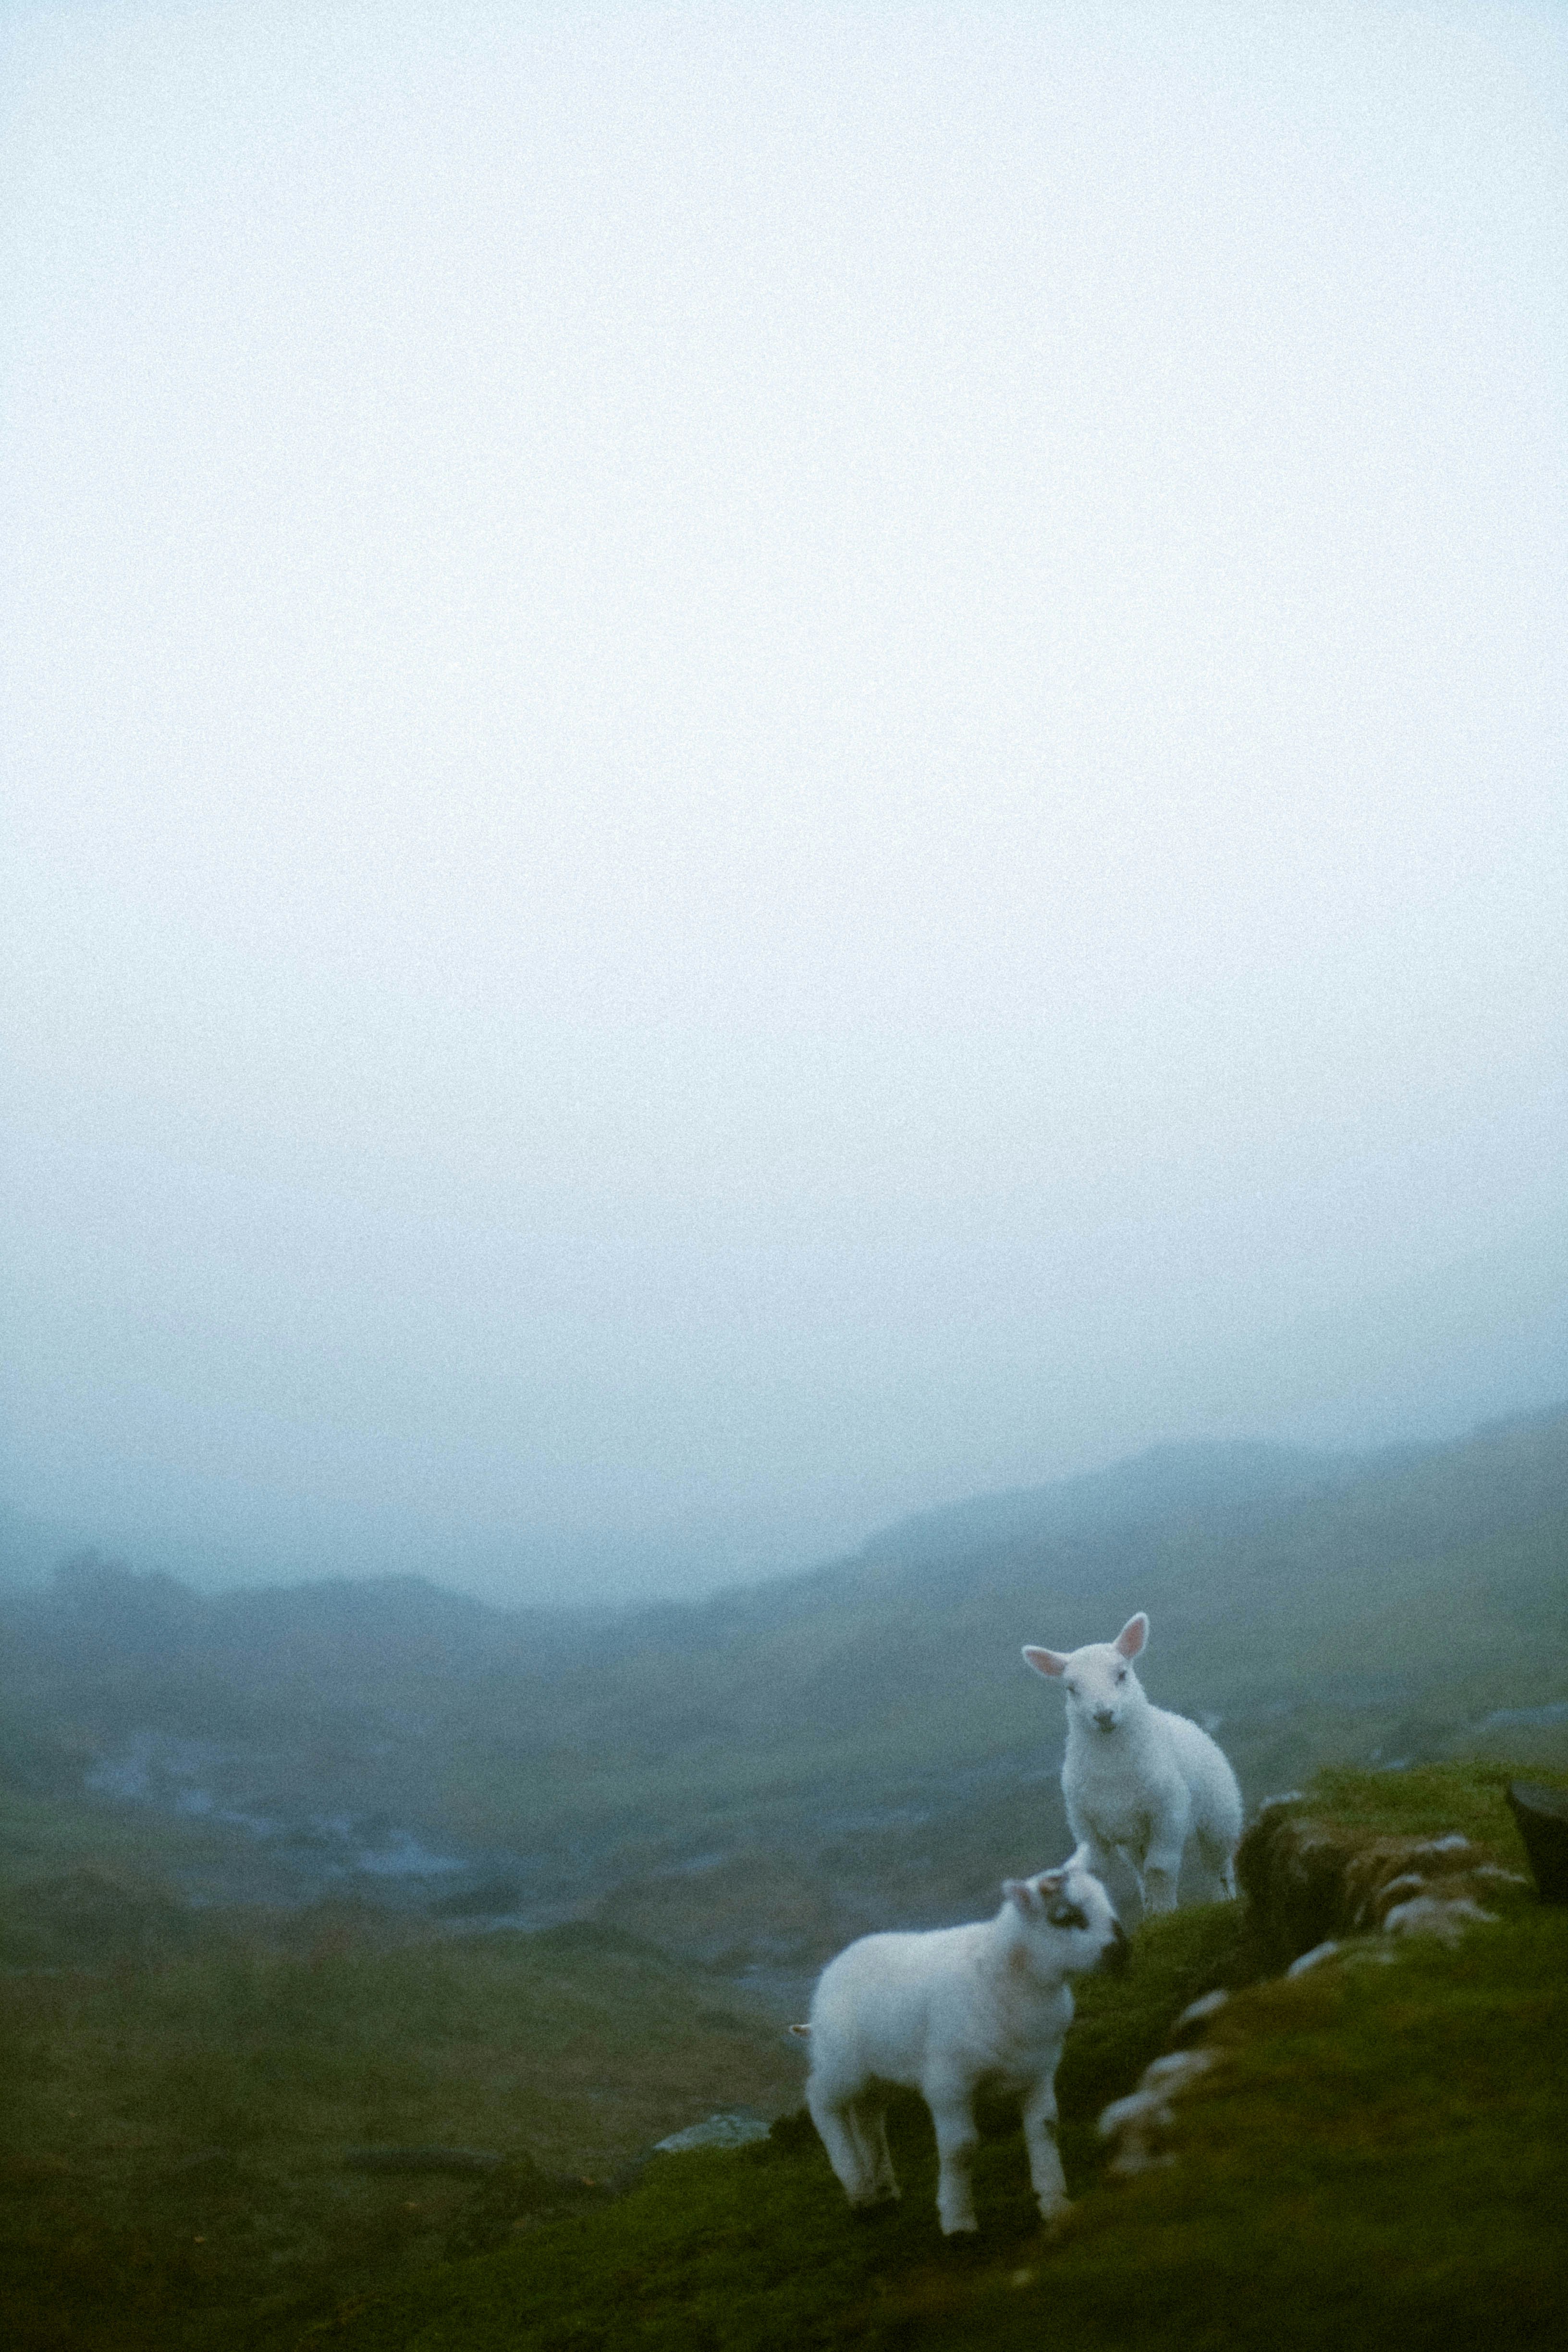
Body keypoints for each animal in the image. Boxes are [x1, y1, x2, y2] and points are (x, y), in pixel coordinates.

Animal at [796, 1861, 1127, 2235]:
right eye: (1065, 1917)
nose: (1123, 1951)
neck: (1008, 1976)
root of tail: (839, 1961)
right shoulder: (949, 2085)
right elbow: (961, 2149)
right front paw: (958, 2222)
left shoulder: (1039, 2070)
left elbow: (1045, 2128)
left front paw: (1055, 2203)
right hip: (842, 2062)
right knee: (821, 2099)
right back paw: (858, 2188)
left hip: (881, 2072)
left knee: (869, 2116)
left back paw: (883, 2190)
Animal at [1022, 1612, 1242, 1916]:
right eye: (1071, 1688)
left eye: (1122, 1675)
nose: (1103, 1715)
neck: (1112, 1768)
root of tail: (1187, 1723)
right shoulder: (1085, 1825)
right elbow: (1096, 1873)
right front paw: (1151, 1917)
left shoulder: (1168, 1813)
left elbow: (1160, 1869)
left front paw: (1166, 1915)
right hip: (1134, 1840)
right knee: (1140, 1870)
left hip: (1220, 1816)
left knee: (1217, 1863)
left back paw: (1224, 1899)